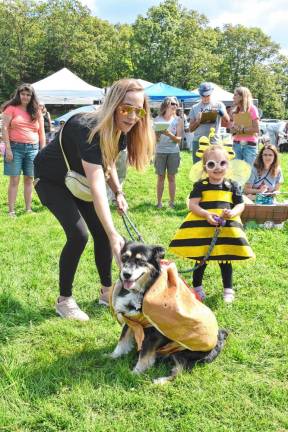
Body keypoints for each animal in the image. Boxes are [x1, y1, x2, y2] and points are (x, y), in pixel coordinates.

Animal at [109, 241, 228, 384]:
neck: (144, 289)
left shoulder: (154, 333)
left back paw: (160, 381)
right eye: (124, 258)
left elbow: (144, 355)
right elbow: (122, 340)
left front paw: (135, 373)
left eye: (141, 261)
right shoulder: (130, 319)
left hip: (181, 351)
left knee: (179, 371)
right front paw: (112, 356)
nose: (126, 274)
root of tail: (218, 338)